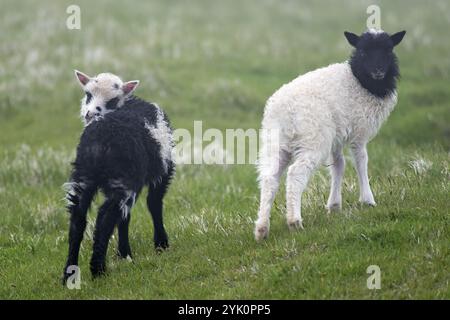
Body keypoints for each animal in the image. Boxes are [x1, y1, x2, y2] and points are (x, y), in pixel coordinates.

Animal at [255, 29, 406, 240]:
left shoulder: (337, 136)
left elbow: (338, 165)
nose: (378, 70)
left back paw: (262, 228)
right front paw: (368, 200)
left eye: (388, 50)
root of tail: (286, 110)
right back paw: (294, 222)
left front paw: (334, 205)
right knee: (295, 174)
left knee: (269, 178)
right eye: (362, 51)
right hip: (313, 140)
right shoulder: (358, 131)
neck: (359, 80)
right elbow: (361, 161)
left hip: (276, 143)